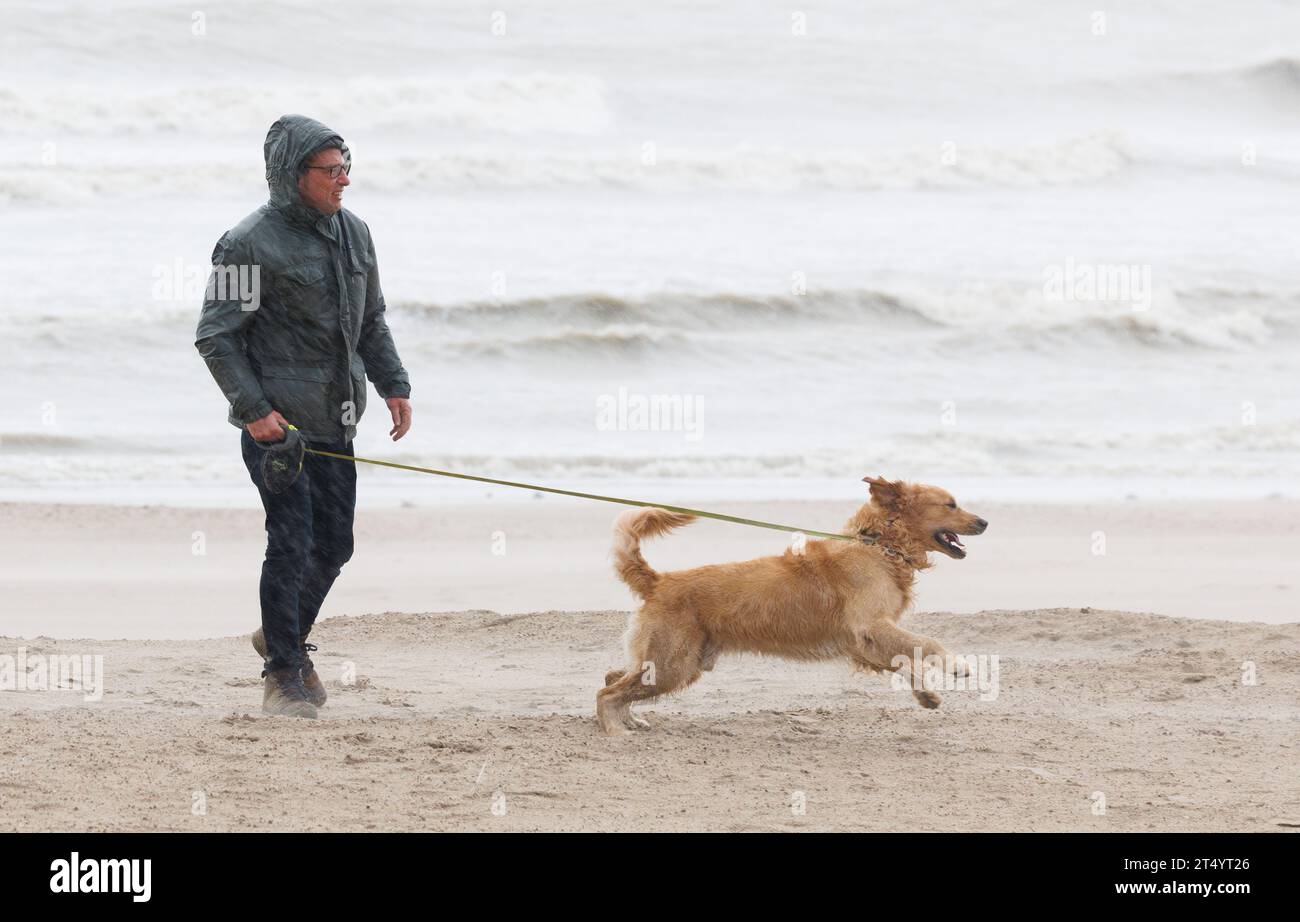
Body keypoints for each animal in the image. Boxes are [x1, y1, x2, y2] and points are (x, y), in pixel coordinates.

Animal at [595, 475, 982, 733]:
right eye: (951, 504)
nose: (985, 521)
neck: (880, 546)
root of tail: (659, 580)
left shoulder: (863, 643)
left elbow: (907, 659)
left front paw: (926, 694)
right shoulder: (870, 626)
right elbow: (927, 643)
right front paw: (956, 664)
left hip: (670, 663)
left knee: (614, 676)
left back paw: (632, 719)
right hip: (672, 665)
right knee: (607, 692)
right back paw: (615, 731)